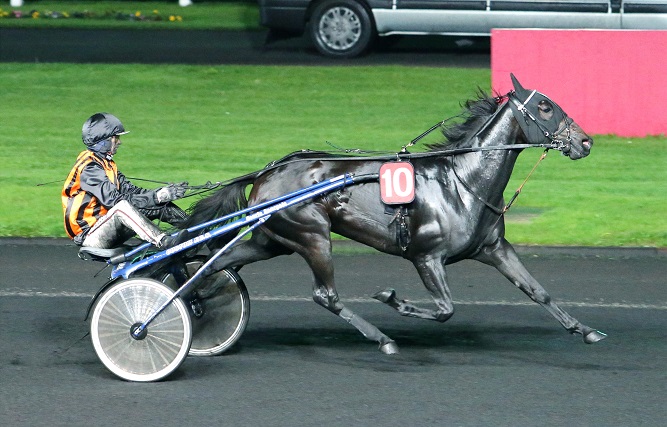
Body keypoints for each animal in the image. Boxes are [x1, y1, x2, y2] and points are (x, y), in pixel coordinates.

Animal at [181, 76, 604, 354]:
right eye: (544, 106)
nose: (585, 141)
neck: (461, 182)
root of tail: (266, 172)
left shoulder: (494, 248)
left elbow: (537, 291)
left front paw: (585, 330)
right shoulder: (427, 257)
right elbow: (445, 309)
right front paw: (392, 299)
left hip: (273, 240)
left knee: (217, 264)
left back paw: (194, 301)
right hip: (312, 234)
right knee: (325, 295)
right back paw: (381, 338)